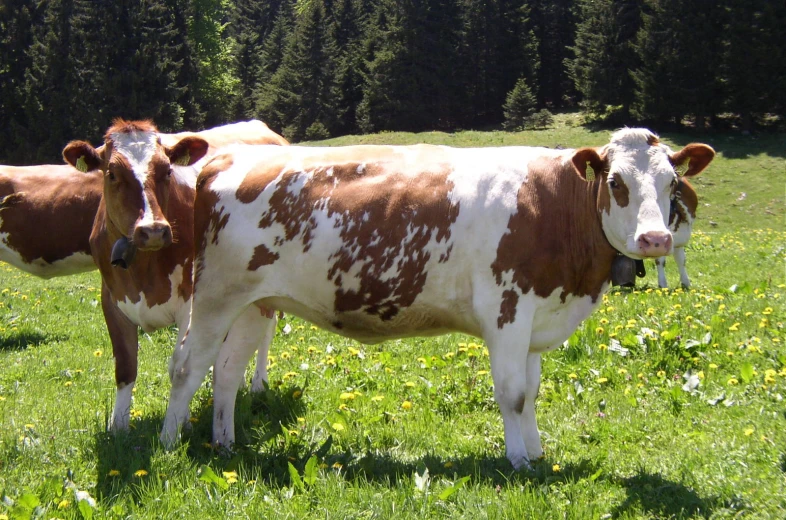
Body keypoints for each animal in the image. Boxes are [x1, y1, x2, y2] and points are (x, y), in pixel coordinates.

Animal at [62, 120, 288, 432]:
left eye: (167, 170)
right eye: (112, 173)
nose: (153, 230)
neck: (141, 269)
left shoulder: (191, 303)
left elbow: (178, 365)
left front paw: (182, 421)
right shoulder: (111, 299)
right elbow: (125, 367)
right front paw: (118, 427)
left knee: (266, 331)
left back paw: (258, 384)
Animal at [161, 128, 712, 470]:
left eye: (671, 183)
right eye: (616, 182)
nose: (656, 240)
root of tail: (229, 156)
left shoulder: (537, 317)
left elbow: (532, 392)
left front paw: (536, 453)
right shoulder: (508, 311)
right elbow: (512, 394)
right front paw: (517, 461)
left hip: (255, 302)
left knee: (227, 371)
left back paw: (226, 445)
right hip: (214, 296)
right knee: (187, 367)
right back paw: (168, 445)